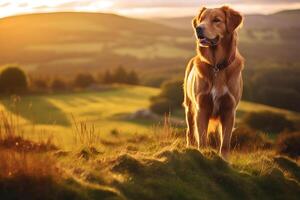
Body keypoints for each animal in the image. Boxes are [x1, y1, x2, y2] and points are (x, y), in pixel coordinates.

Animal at [183, 5, 244, 158]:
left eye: (217, 20)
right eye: (201, 19)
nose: (198, 28)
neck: (217, 66)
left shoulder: (229, 110)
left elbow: (225, 143)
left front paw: (224, 160)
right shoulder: (201, 108)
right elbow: (202, 139)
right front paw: (202, 155)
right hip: (189, 107)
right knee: (190, 132)